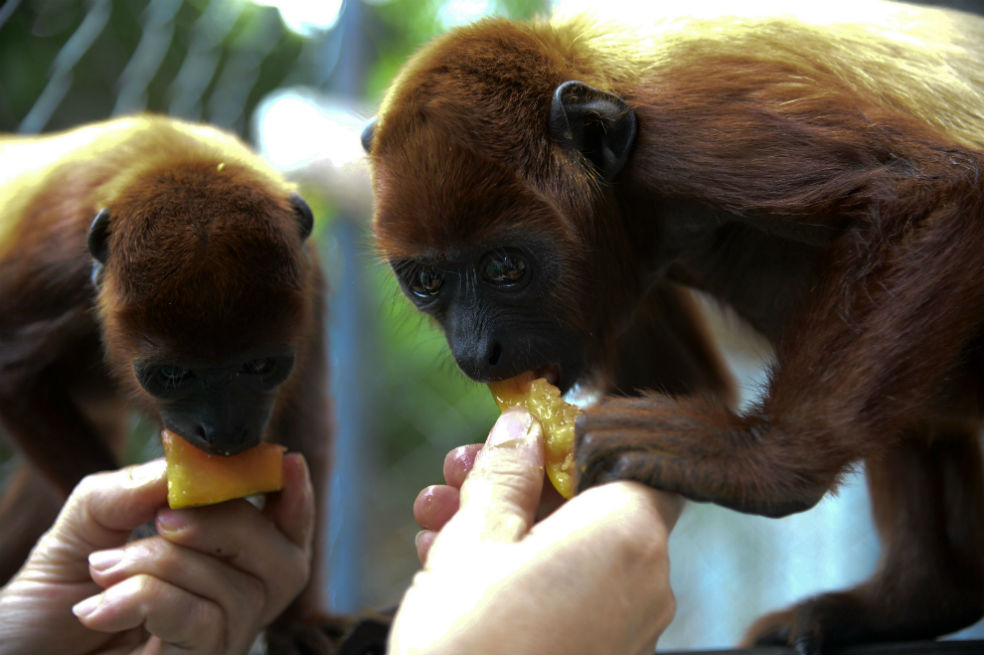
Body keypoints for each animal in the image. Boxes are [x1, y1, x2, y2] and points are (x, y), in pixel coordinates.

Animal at [0, 115, 332, 646]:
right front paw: (138, 532)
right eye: (173, 374)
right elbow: (11, 379)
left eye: (260, 367)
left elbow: (307, 430)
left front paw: (297, 622)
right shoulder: (48, 270)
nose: (225, 430)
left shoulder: (311, 282)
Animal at [362, 1, 984, 652]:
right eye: (426, 282)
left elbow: (925, 191)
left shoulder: (690, 125)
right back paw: (920, 599)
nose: (476, 351)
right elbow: (677, 377)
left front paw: (756, 461)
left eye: (505, 268)